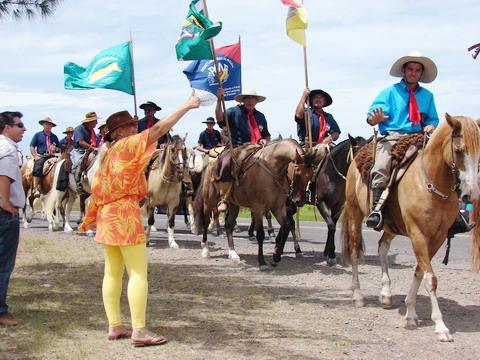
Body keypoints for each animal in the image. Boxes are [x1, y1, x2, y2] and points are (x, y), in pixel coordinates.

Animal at [342, 114, 480, 342]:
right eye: (459, 150)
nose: (471, 195)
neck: (430, 183)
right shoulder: (418, 235)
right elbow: (430, 279)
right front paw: (440, 326)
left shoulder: (437, 238)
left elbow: (419, 273)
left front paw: (410, 313)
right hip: (355, 214)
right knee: (354, 251)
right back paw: (357, 295)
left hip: (390, 226)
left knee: (382, 247)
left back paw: (386, 293)